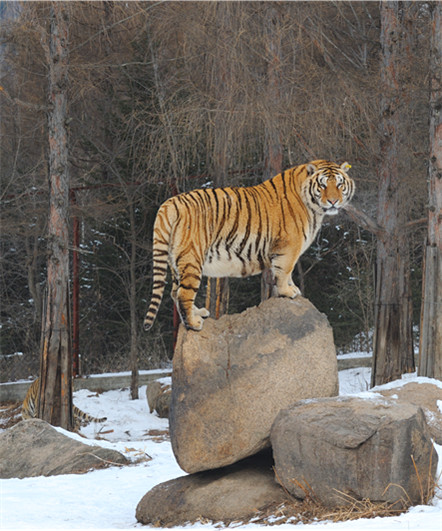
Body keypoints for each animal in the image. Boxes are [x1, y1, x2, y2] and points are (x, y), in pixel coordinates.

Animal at [145, 160, 356, 330]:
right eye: (322, 185)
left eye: (339, 184)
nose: (333, 201)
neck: (314, 209)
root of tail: (169, 203)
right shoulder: (289, 247)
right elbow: (284, 271)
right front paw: (288, 292)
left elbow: (286, 273)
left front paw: (293, 289)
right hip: (192, 258)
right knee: (183, 294)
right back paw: (194, 324)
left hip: (176, 261)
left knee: (174, 292)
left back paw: (199, 313)